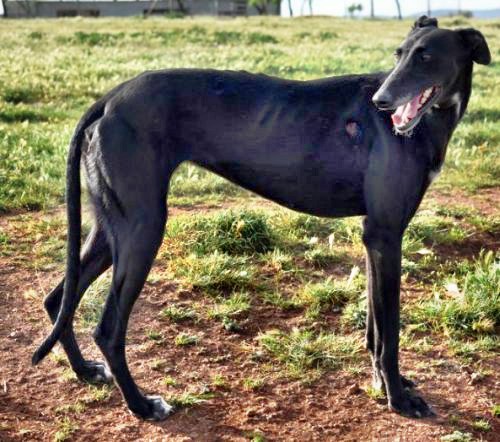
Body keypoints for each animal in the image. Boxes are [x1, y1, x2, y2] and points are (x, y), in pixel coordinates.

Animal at [33, 16, 490, 420]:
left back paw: (85, 371)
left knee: (59, 299)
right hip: (143, 228)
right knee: (108, 329)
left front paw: (384, 382)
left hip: (115, 227)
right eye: (399, 55)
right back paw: (142, 406)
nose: (381, 101)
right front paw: (398, 397)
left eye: (425, 57)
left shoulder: (376, 239)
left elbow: (376, 325)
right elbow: (390, 330)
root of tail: (110, 99)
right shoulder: (385, 233)